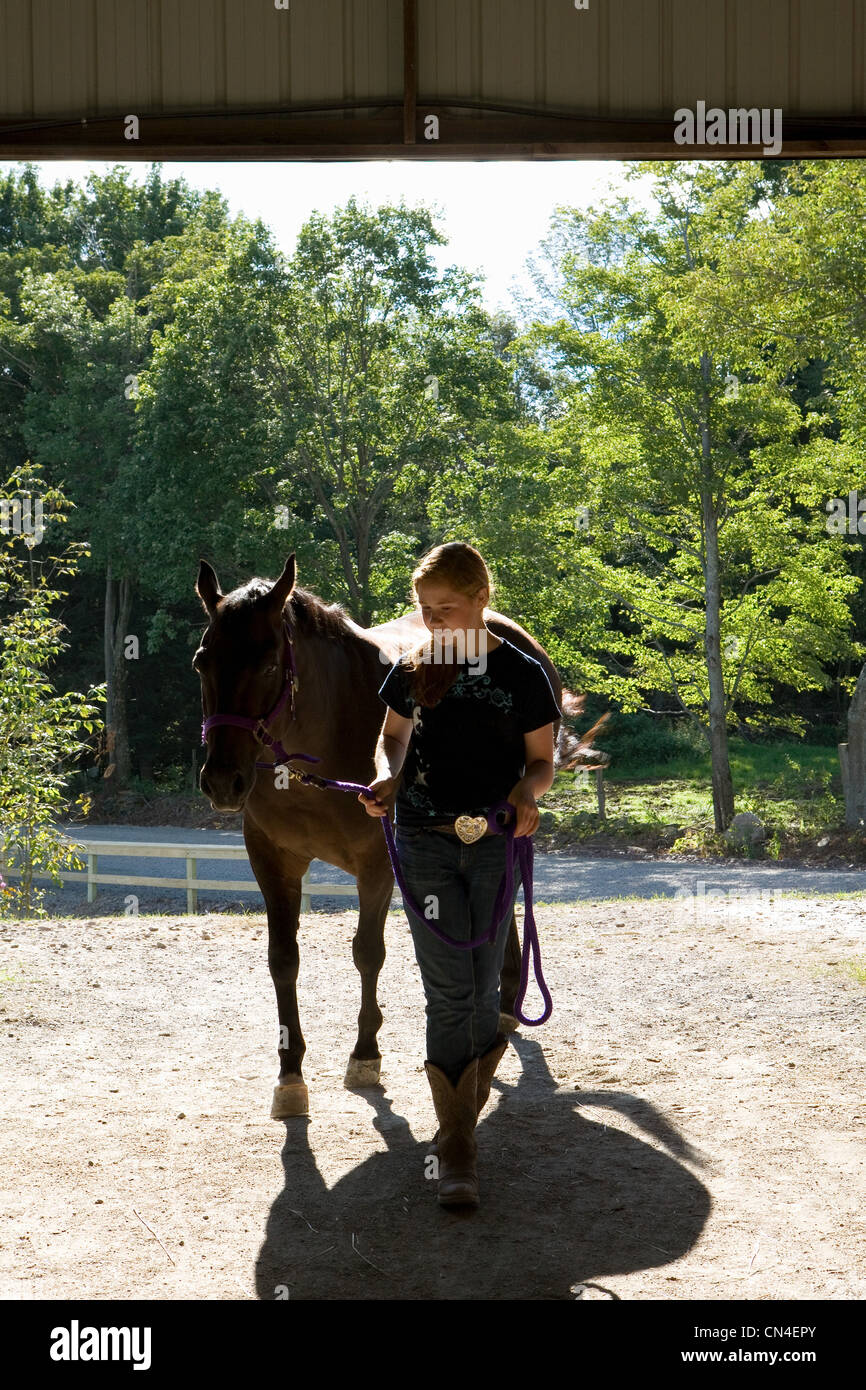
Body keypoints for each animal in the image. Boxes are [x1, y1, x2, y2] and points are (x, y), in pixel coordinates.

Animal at [194, 550, 589, 1117]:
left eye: (268, 664)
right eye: (202, 662)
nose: (223, 781)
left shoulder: (379, 864)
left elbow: (367, 953)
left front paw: (365, 1054)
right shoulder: (272, 860)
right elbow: (283, 960)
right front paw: (290, 1075)